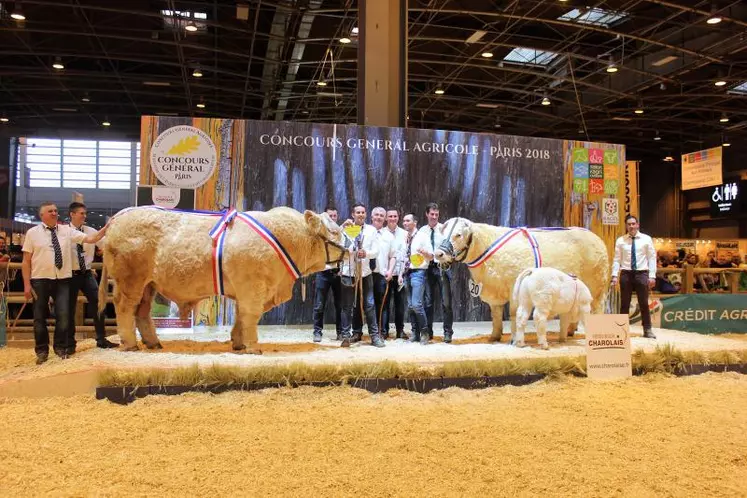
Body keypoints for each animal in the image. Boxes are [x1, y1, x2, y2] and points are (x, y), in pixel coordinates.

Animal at [97, 206, 350, 354]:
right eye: (334, 232)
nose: (352, 248)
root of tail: (118, 216)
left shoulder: (246, 289)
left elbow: (240, 316)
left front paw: (238, 343)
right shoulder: (252, 287)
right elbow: (250, 315)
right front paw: (253, 347)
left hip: (148, 285)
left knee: (142, 311)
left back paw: (153, 343)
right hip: (130, 280)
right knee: (125, 307)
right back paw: (130, 344)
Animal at [436, 218, 612, 342]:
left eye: (458, 235)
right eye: (441, 234)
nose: (438, 254)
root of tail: (596, 238)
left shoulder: (514, 286)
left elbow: (514, 314)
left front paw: (514, 338)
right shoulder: (494, 293)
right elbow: (496, 315)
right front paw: (494, 336)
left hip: (597, 287)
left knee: (597, 309)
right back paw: (569, 332)